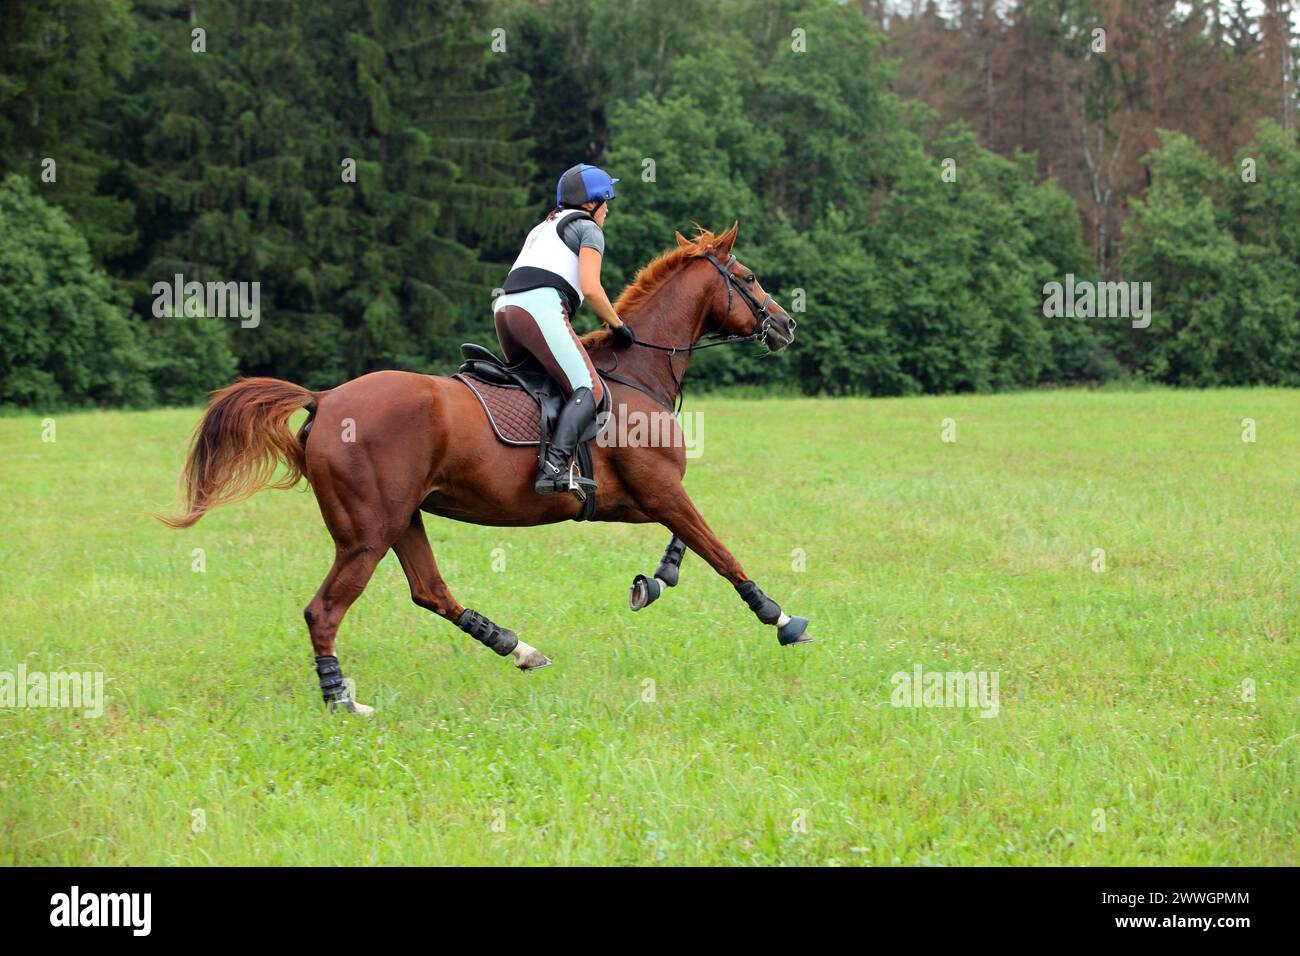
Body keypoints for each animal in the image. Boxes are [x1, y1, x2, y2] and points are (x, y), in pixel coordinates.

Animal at [163, 223, 811, 712]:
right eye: (748, 278)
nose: (786, 323)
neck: (637, 374)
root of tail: (324, 399)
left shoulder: (636, 499)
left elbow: (687, 542)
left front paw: (654, 582)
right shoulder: (658, 490)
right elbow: (719, 549)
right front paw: (780, 619)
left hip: (401, 517)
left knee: (430, 591)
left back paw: (516, 647)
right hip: (368, 532)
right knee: (325, 610)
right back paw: (343, 702)